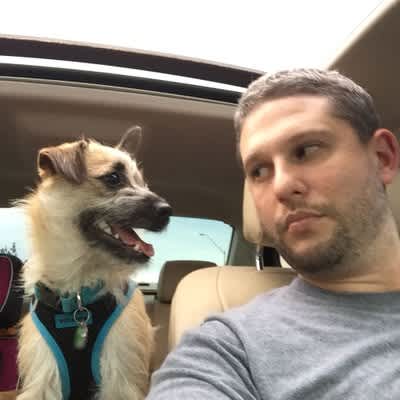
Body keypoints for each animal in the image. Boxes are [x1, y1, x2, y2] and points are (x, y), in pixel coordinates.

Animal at [16, 129, 171, 400]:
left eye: (142, 182)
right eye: (113, 178)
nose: (167, 210)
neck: (78, 295)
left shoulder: (121, 379)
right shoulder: (43, 379)